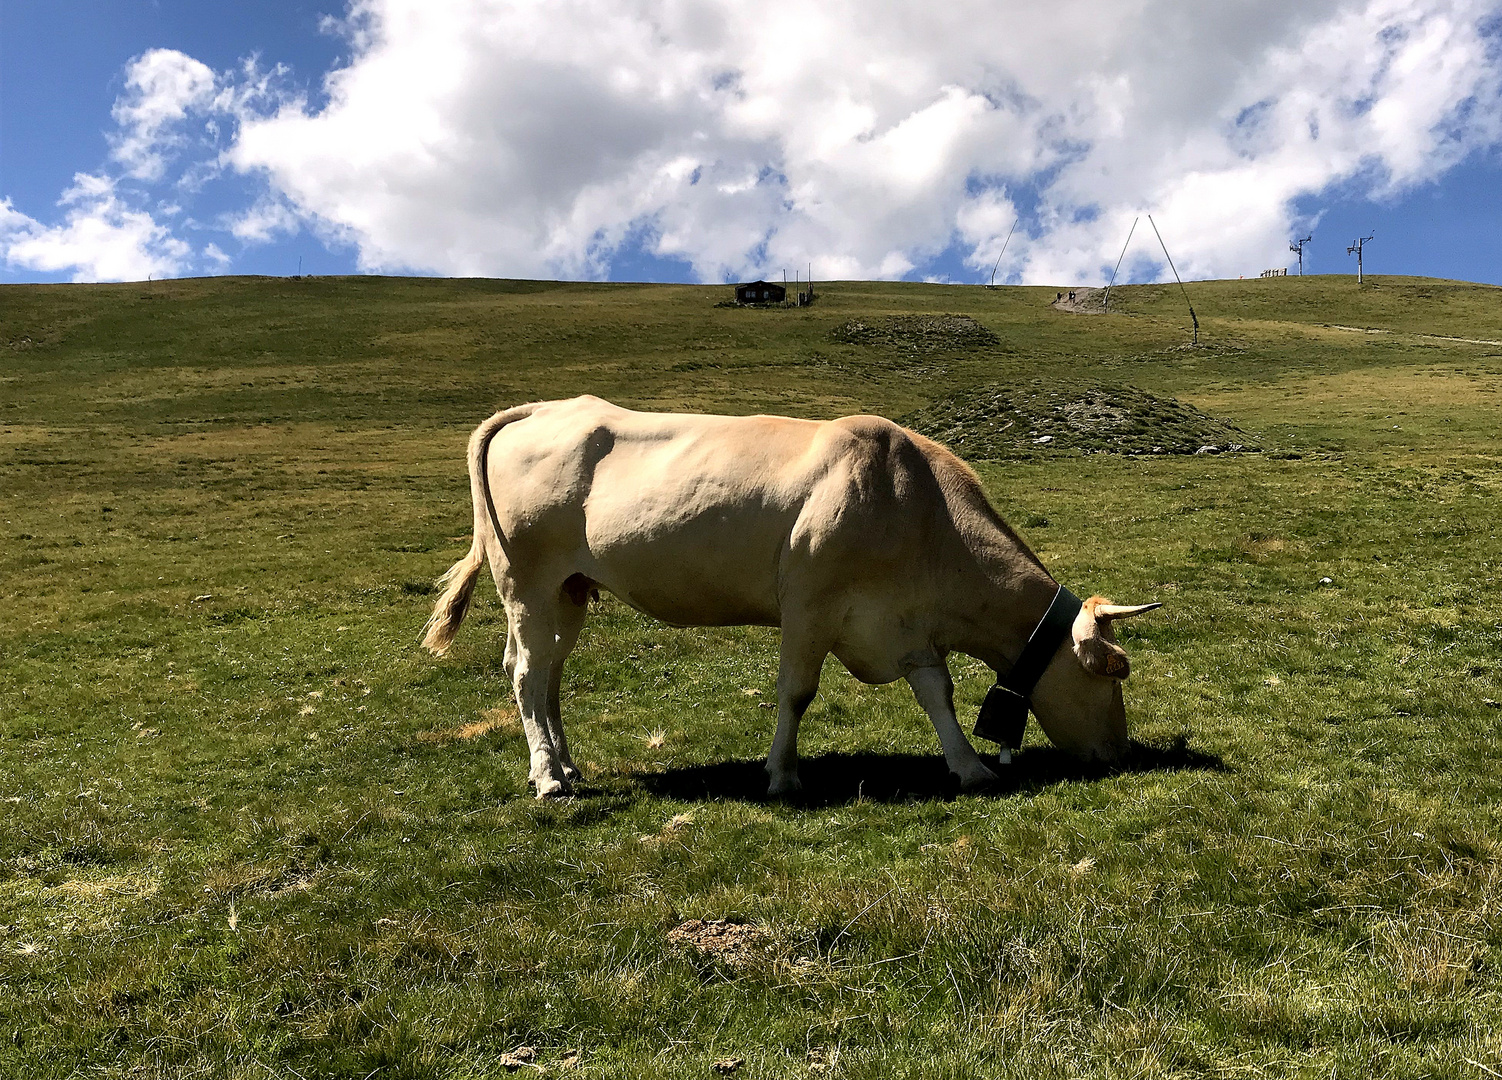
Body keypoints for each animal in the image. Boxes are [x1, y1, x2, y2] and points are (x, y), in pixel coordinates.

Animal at [426, 393, 1159, 793]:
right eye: (1115, 670)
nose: (1122, 755)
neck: (920, 510)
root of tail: (542, 410)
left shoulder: (903, 621)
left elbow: (937, 695)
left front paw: (970, 767)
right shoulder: (808, 605)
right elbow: (797, 693)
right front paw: (781, 773)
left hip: (570, 590)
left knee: (547, 672)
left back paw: (565, 764)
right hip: (528, 581)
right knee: (526, 674)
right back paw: (549, 778)